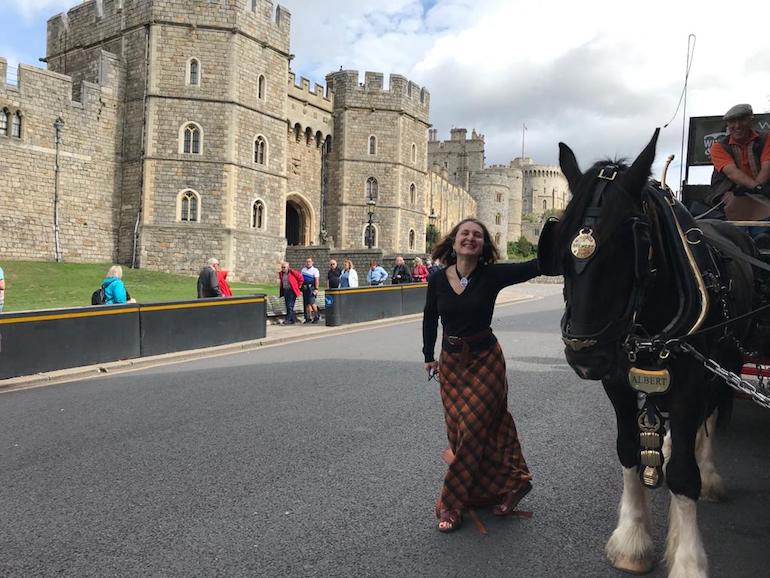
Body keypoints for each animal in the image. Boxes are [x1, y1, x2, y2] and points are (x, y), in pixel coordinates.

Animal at [548, 130, 752, 576]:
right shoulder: (616, 381)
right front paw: (632, 538)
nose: (584, 356)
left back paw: (708, 470)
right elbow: (628, 450)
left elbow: (682, 476)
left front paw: (688, 558)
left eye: (632, 243)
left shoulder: (692, 379)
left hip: (725, 361)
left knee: (712, 412)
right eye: (559, 240)